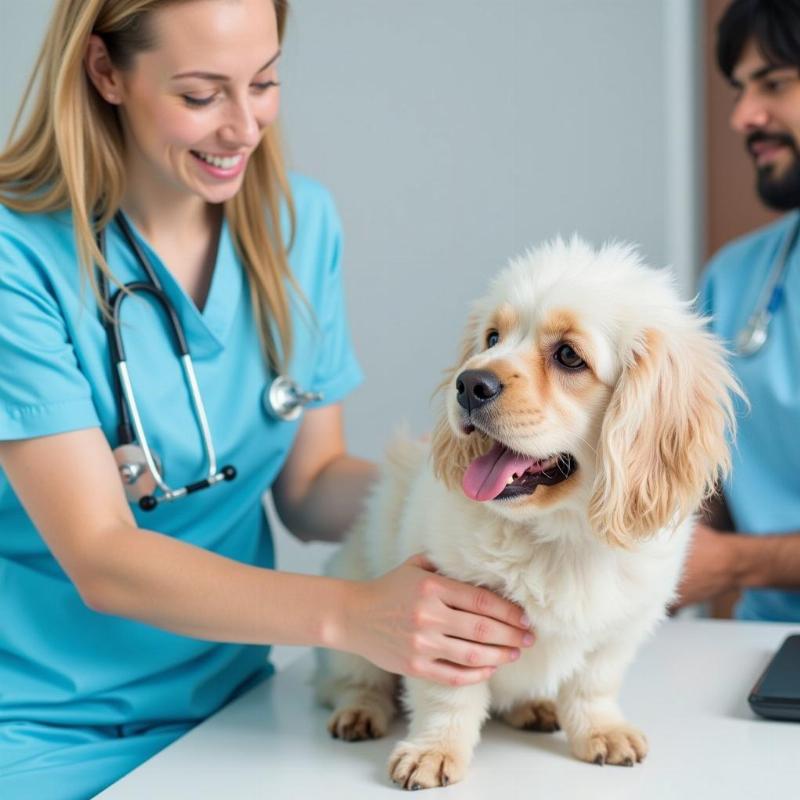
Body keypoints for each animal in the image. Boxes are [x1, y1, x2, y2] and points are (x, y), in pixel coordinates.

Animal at [316, 238, 740, 788]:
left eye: (568, 356)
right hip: (352, 617)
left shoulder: (622, 629)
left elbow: (593, 685)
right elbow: (447, 700)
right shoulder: (443, 621)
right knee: (355, 680)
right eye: (492, 338)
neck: (559, 534)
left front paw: (602, 731)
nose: (468, 383)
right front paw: (434, 752)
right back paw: (360, 711)